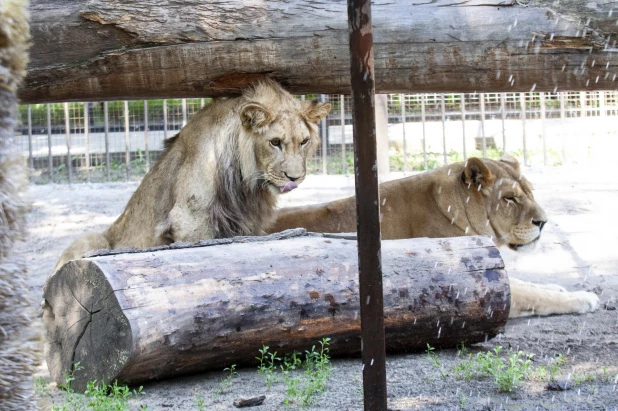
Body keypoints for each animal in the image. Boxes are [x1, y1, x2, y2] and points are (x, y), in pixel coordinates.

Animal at [54, 80, 332, 274]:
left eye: (304, 141)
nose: (294, 177)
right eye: (275, 142)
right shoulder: (190, 221)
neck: (245, 183)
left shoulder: (249, 223)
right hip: (90, 238)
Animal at [270, 156, 596, 320]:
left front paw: (559, 287)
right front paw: (582, 298)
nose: (544, 222)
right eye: (510, 199)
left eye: (530, 191)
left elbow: (532, 285)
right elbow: (533, 295)